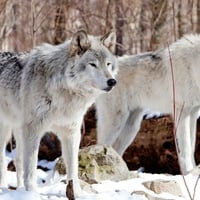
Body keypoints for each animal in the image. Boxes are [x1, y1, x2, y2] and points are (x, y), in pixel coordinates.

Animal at [0, 30, 117, 197]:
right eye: (93, 64)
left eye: (108, 64)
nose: (112, 81)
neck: (65, 92)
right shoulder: (33, 130)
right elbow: (31, 168)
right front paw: (31, 194)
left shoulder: (71, 132)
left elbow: (73, 167)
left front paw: (77, 193)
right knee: (3, 159)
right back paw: (4, 188)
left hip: (18, 130)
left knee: (17, 160)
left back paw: (19, 189)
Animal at [96, 34, 200, 175]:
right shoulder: (182, 112)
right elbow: (186, 149)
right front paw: (189, 172)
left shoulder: (193, 113)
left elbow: (192, 147)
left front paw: (193, 172)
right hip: (115, 123)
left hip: (131, 128)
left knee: (116, 151)